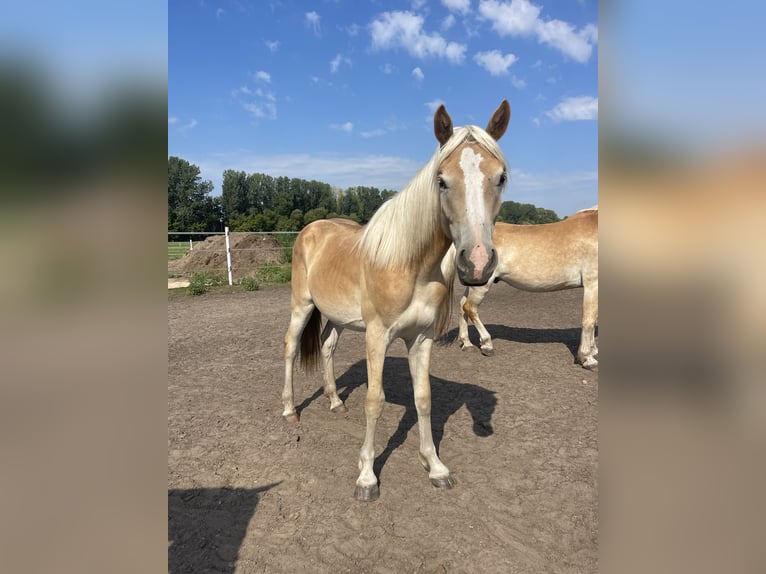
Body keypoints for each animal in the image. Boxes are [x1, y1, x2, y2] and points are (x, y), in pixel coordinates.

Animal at [280, 101, 510, 502]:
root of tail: (311, 229)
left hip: (337, 318)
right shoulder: (378, 337)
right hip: (302, 306)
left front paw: (435, 467)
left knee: (326, 347)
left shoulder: (420, 338)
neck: (409, 265)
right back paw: (290, 410)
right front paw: (366, 477)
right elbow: (375, 401)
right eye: (441, 180)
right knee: (291, 347)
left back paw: (335, 401)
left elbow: (424, 397)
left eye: (501, 177)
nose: (477, 262)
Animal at [456, 207, 600, 368]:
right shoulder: (592, 284)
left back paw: (467, 343)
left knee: (462, 305)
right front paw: (587, 358)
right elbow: (589, 320)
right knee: (470, 307)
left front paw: (593, 351)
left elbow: (594, 319)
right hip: (482, 284)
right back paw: (487, 345)